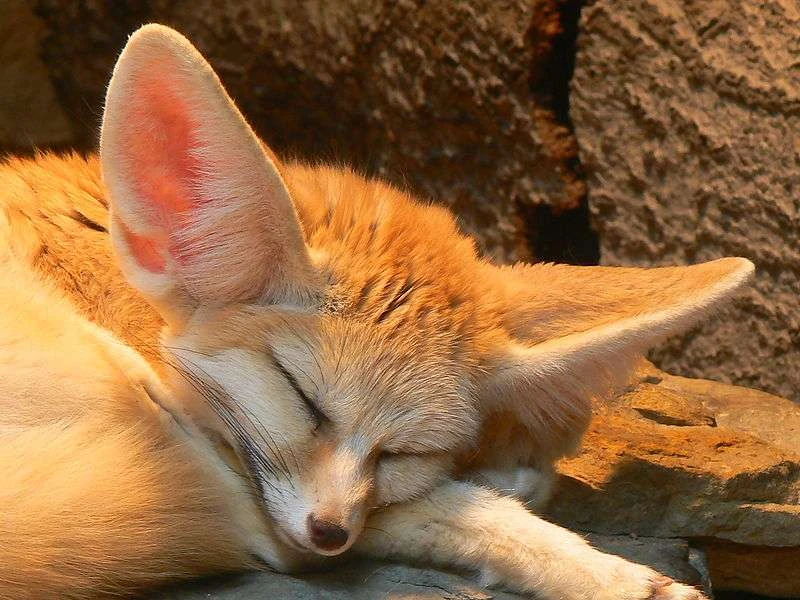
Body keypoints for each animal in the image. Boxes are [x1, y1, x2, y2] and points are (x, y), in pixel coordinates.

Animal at [0, 24, 754, 600]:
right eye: (302, 399)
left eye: (403, 450)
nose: (330, 531)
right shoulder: (222, 470)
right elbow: (451, 508)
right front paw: (611, 571)